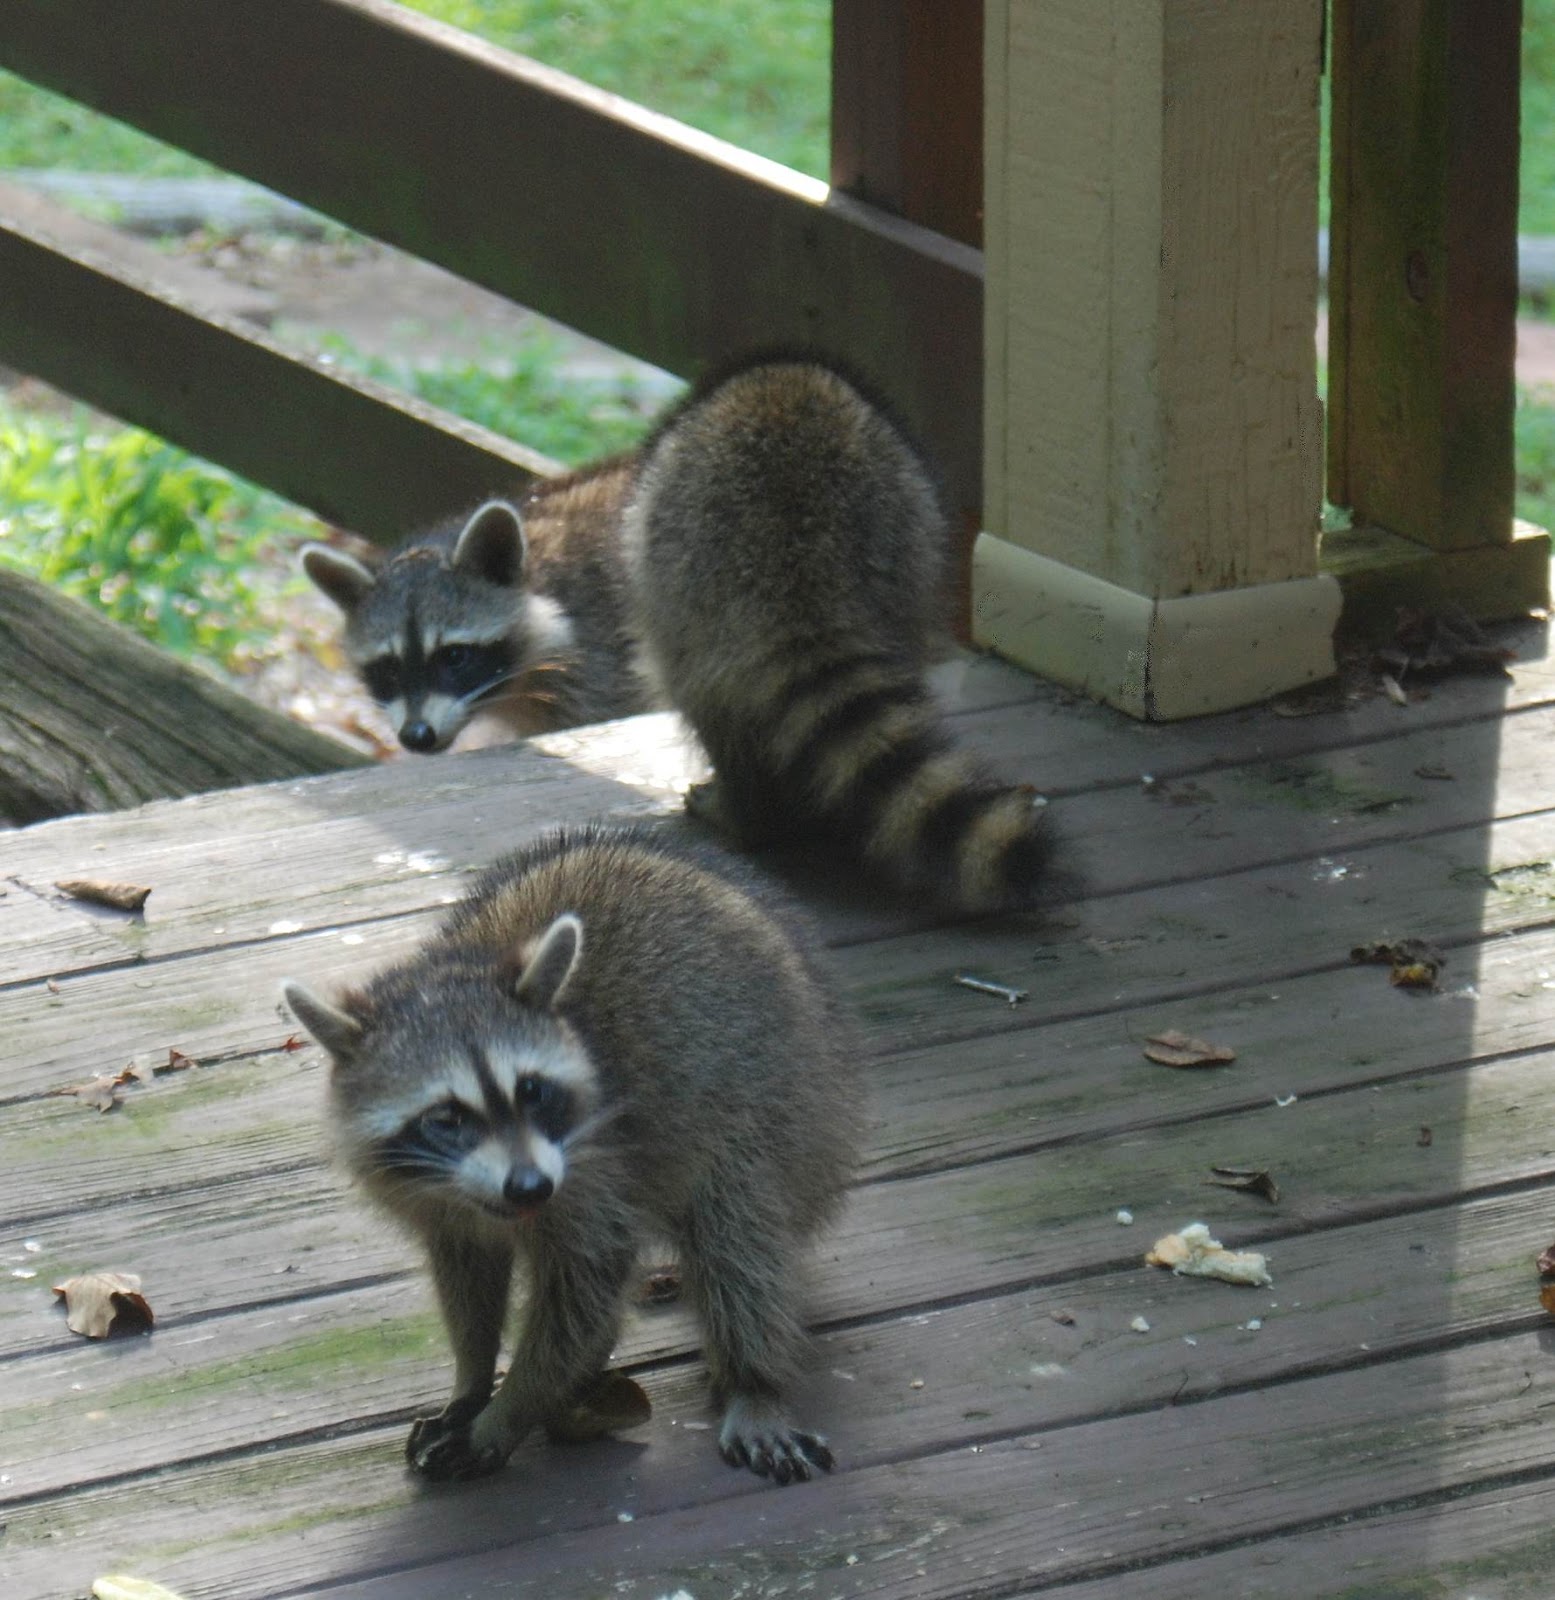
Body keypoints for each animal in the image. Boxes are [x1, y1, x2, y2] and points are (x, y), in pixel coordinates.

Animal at [282, 825, 860, 1485]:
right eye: (446, 1117)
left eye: (531, 1090)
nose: (531, 1188)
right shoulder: (443, 1202)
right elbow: (468, 1274)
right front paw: (472, 1379)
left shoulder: (595, 1164)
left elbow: (584, 1290)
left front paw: (509, 1409)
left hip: (787, 1100)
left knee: (737, 1229)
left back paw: (751, 1380)